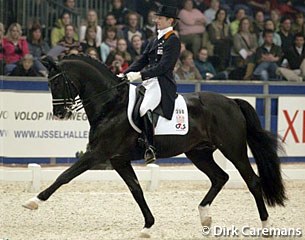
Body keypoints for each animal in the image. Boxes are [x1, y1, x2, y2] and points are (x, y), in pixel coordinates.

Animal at [23, 55, 284, 237]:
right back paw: (205, 218)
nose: (60, 114)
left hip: (233, 149)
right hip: (198, 153)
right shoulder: (118, 159)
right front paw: (148, 227)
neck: (111, 104)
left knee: (252, 181)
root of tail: (232, 101)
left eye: (58, 83)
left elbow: (64, 176)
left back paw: (266, 226)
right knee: (220, 177)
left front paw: (33, 202)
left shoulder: (97, 154)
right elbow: (136, 190)